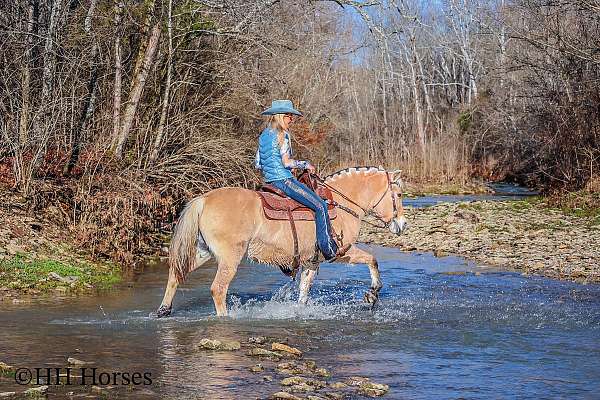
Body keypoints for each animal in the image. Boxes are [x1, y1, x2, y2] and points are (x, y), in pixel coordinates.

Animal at [155, 164, 408, 318]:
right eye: (399, 195)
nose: (403, 225)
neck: (339, 204)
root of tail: (204, 199)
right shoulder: (340, 251)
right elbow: (372, 259)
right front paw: (372, 294)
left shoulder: (311, 262)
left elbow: (304, 292)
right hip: (229, 258)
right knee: (218, 289)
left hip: (202, 251)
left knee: (176, 274)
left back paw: (164, 310)